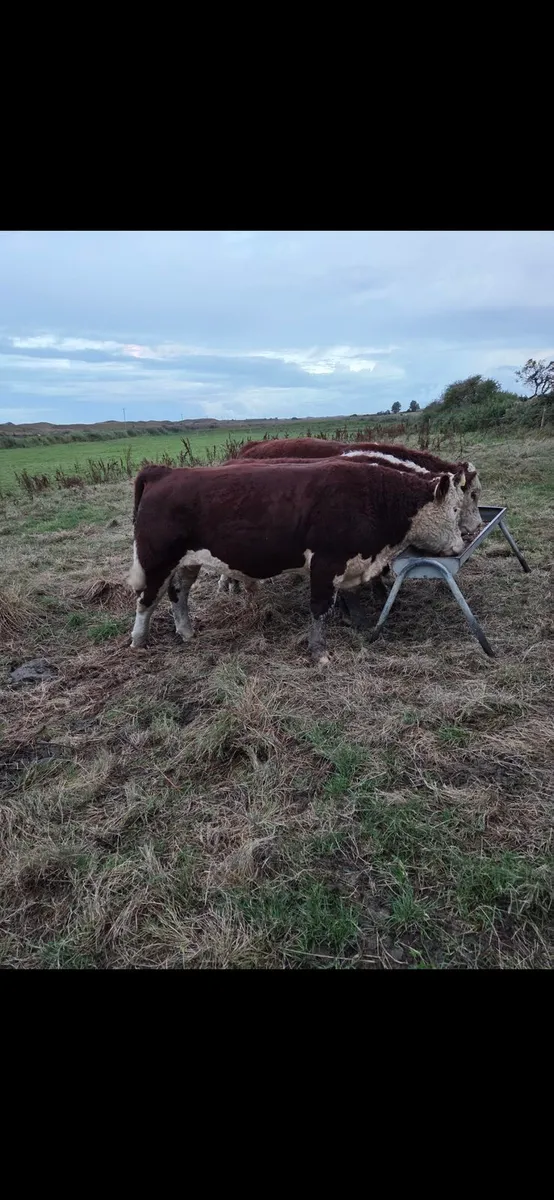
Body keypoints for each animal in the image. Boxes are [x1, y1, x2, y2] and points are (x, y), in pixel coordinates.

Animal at [128, 458, 466, 666]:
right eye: (455, 510)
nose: (461, 544)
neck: (372, 500)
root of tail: (164, 472)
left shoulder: (352, 562)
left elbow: (352, 598)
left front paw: (361, 626)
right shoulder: (327, 563)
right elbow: (320, 608)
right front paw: (319, 652)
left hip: (187, 562)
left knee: (178, 594)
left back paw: (186, 631)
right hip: (156, 560)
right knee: (147, 599)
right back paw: (139, 641)